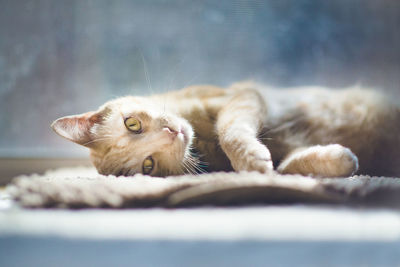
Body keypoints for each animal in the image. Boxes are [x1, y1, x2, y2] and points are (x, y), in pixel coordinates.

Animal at [51, 81, 400, 178]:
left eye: (132, 124)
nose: (172, 134)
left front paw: (249, 157)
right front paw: (339, 160)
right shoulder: (286, 156)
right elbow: (291, 165)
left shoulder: (243, 96)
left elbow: (230, 130)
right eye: (148, 165)